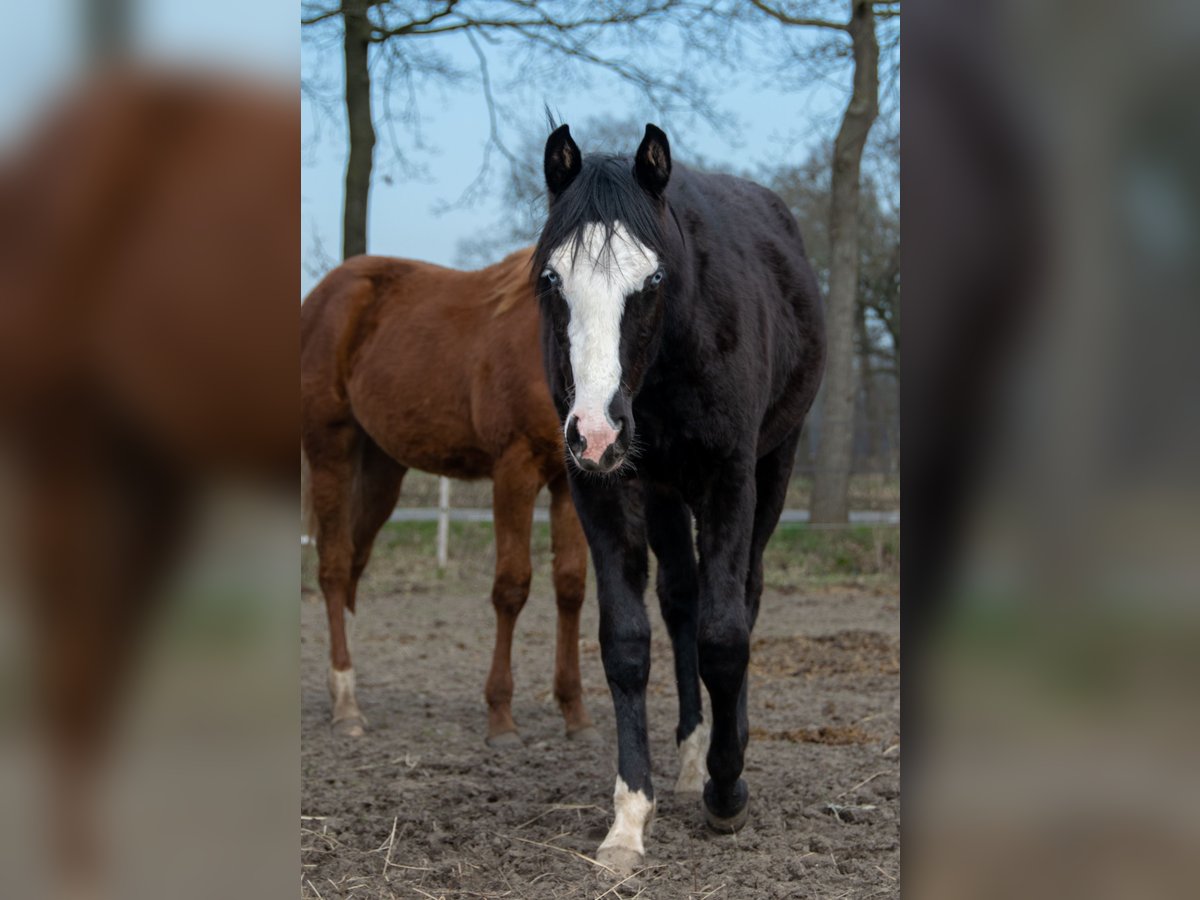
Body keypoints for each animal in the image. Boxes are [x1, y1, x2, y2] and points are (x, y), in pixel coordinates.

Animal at [300, 247, 595, 745]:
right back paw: (346, 704)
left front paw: (574, 713)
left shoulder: (570, 482)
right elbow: (511, 586)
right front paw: (500, 716)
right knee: (335, 566)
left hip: (382, 468)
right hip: (330, 451)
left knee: (355, 562)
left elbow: (570, 586)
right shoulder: (514, 469)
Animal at [533, 123, 826, 871]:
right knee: (682, 601)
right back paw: (693, 754)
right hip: (662, 494)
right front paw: (631, 816)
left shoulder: (730, 480)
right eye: (552, 277)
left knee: (743, 595)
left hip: (773, 470)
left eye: (654, 278)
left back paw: (725, 755)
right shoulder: (601, 488)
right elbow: (627, 643)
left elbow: (726, 636)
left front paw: (727, 792)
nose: (597, 428)